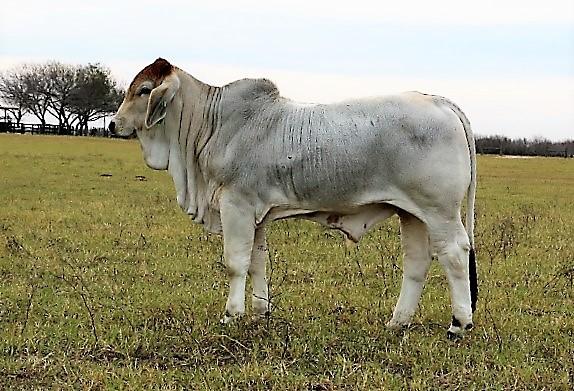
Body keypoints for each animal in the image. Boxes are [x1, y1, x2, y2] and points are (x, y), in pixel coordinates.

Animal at [110, 57, 480, 336]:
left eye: (144, 90)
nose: (113, 125)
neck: (212, 123)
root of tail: (440, 101)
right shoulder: (255, 214)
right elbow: (257, 261)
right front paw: (259, 312)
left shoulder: (235, 206)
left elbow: (235, 263)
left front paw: (231, 315)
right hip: (412, 213)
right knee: (417, 263)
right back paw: (397, 323)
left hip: (440, 212)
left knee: (454, 254)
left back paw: (459, 324)